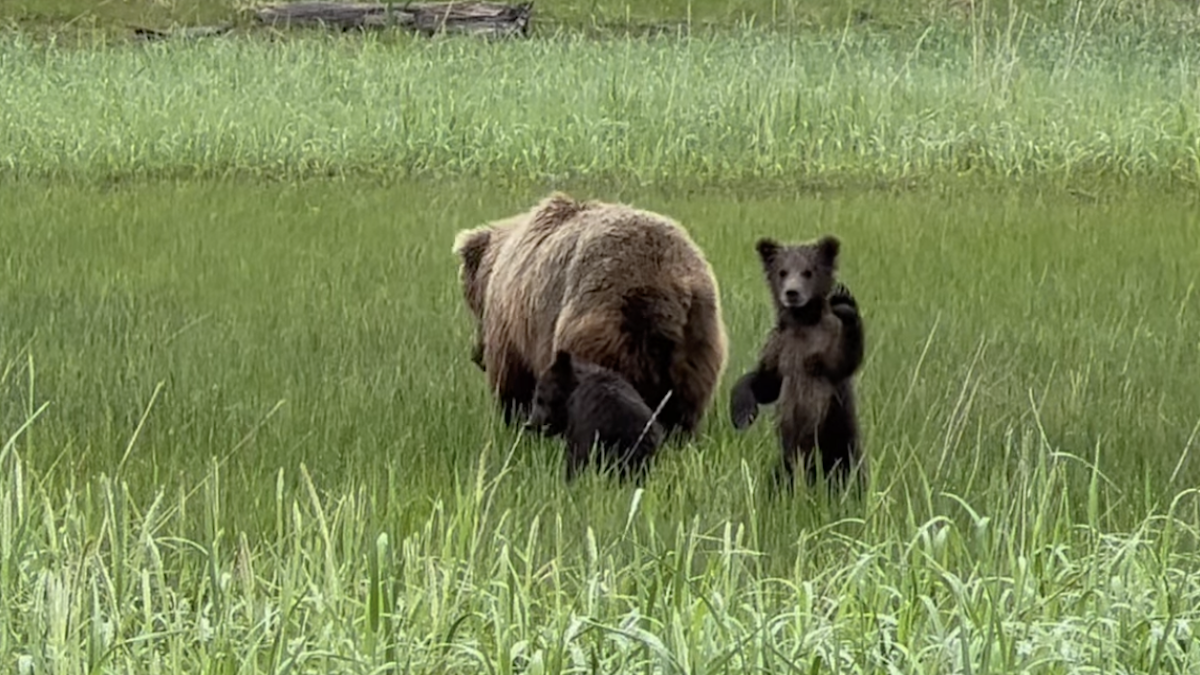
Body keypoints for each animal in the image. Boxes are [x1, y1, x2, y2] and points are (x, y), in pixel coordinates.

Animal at [451, 194, 724, 437]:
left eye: (472, 304)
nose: (476, 355)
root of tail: (660, 287)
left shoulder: (510, 324)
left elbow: (512, 383)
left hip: (597, 326)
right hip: (698, 336)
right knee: (684, 407)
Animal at [729, 234, 864, 485]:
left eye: (808, 271)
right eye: (782, 271)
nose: (792, 293)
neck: (802, 322)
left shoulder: (824, 345)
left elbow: (843, 359)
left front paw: (845, 303)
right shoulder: (779, 346)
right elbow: (765, 382)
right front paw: (742, 413)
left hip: (839, 445)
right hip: (786, 462)